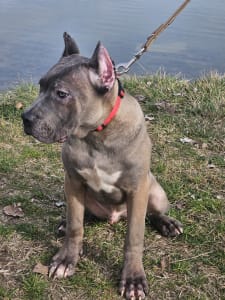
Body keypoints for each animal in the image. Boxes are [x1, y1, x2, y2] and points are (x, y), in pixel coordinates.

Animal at [21, 31, 183, 298]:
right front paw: (66, 259)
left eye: (61, 94)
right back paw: (66, 223)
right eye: (40, 86)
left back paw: (167, 223)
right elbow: (76, 226)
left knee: (153, 213)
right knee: (80, 215)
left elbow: (134, 237)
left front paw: (133, 279)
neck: (95, 135)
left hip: (156, 192)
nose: (25, 118)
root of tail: (114, 217)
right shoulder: (73, 181)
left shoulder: (137, 189)